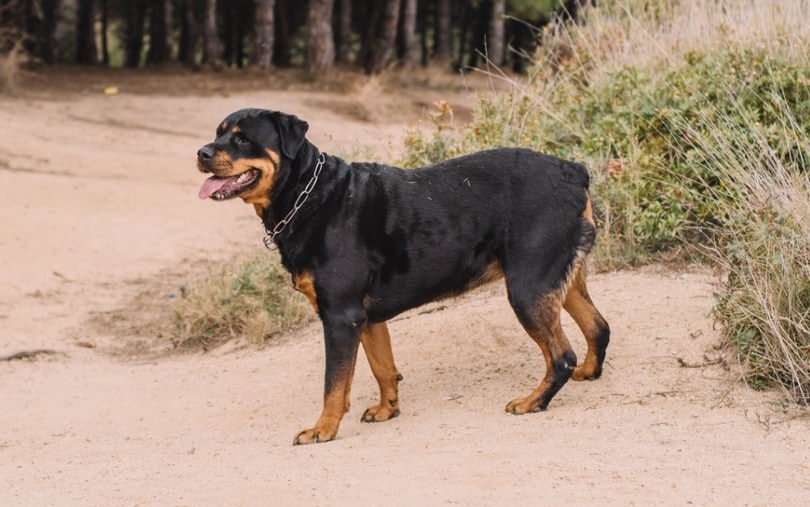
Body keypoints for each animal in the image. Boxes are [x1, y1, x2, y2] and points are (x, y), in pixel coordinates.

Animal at [199, 108, 608, 444]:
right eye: (218, 133)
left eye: (242, 139)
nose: (201, 153)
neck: (308, 196)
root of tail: (573, 171)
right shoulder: (365, 318)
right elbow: (383, 368)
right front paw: (388, 410)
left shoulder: (341, 316)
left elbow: (334, 384)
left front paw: (323, 429)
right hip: (558, 278)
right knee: (598, 327)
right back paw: (587, 372)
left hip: (526, 287)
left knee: (561, 355)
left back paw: (533, 401)